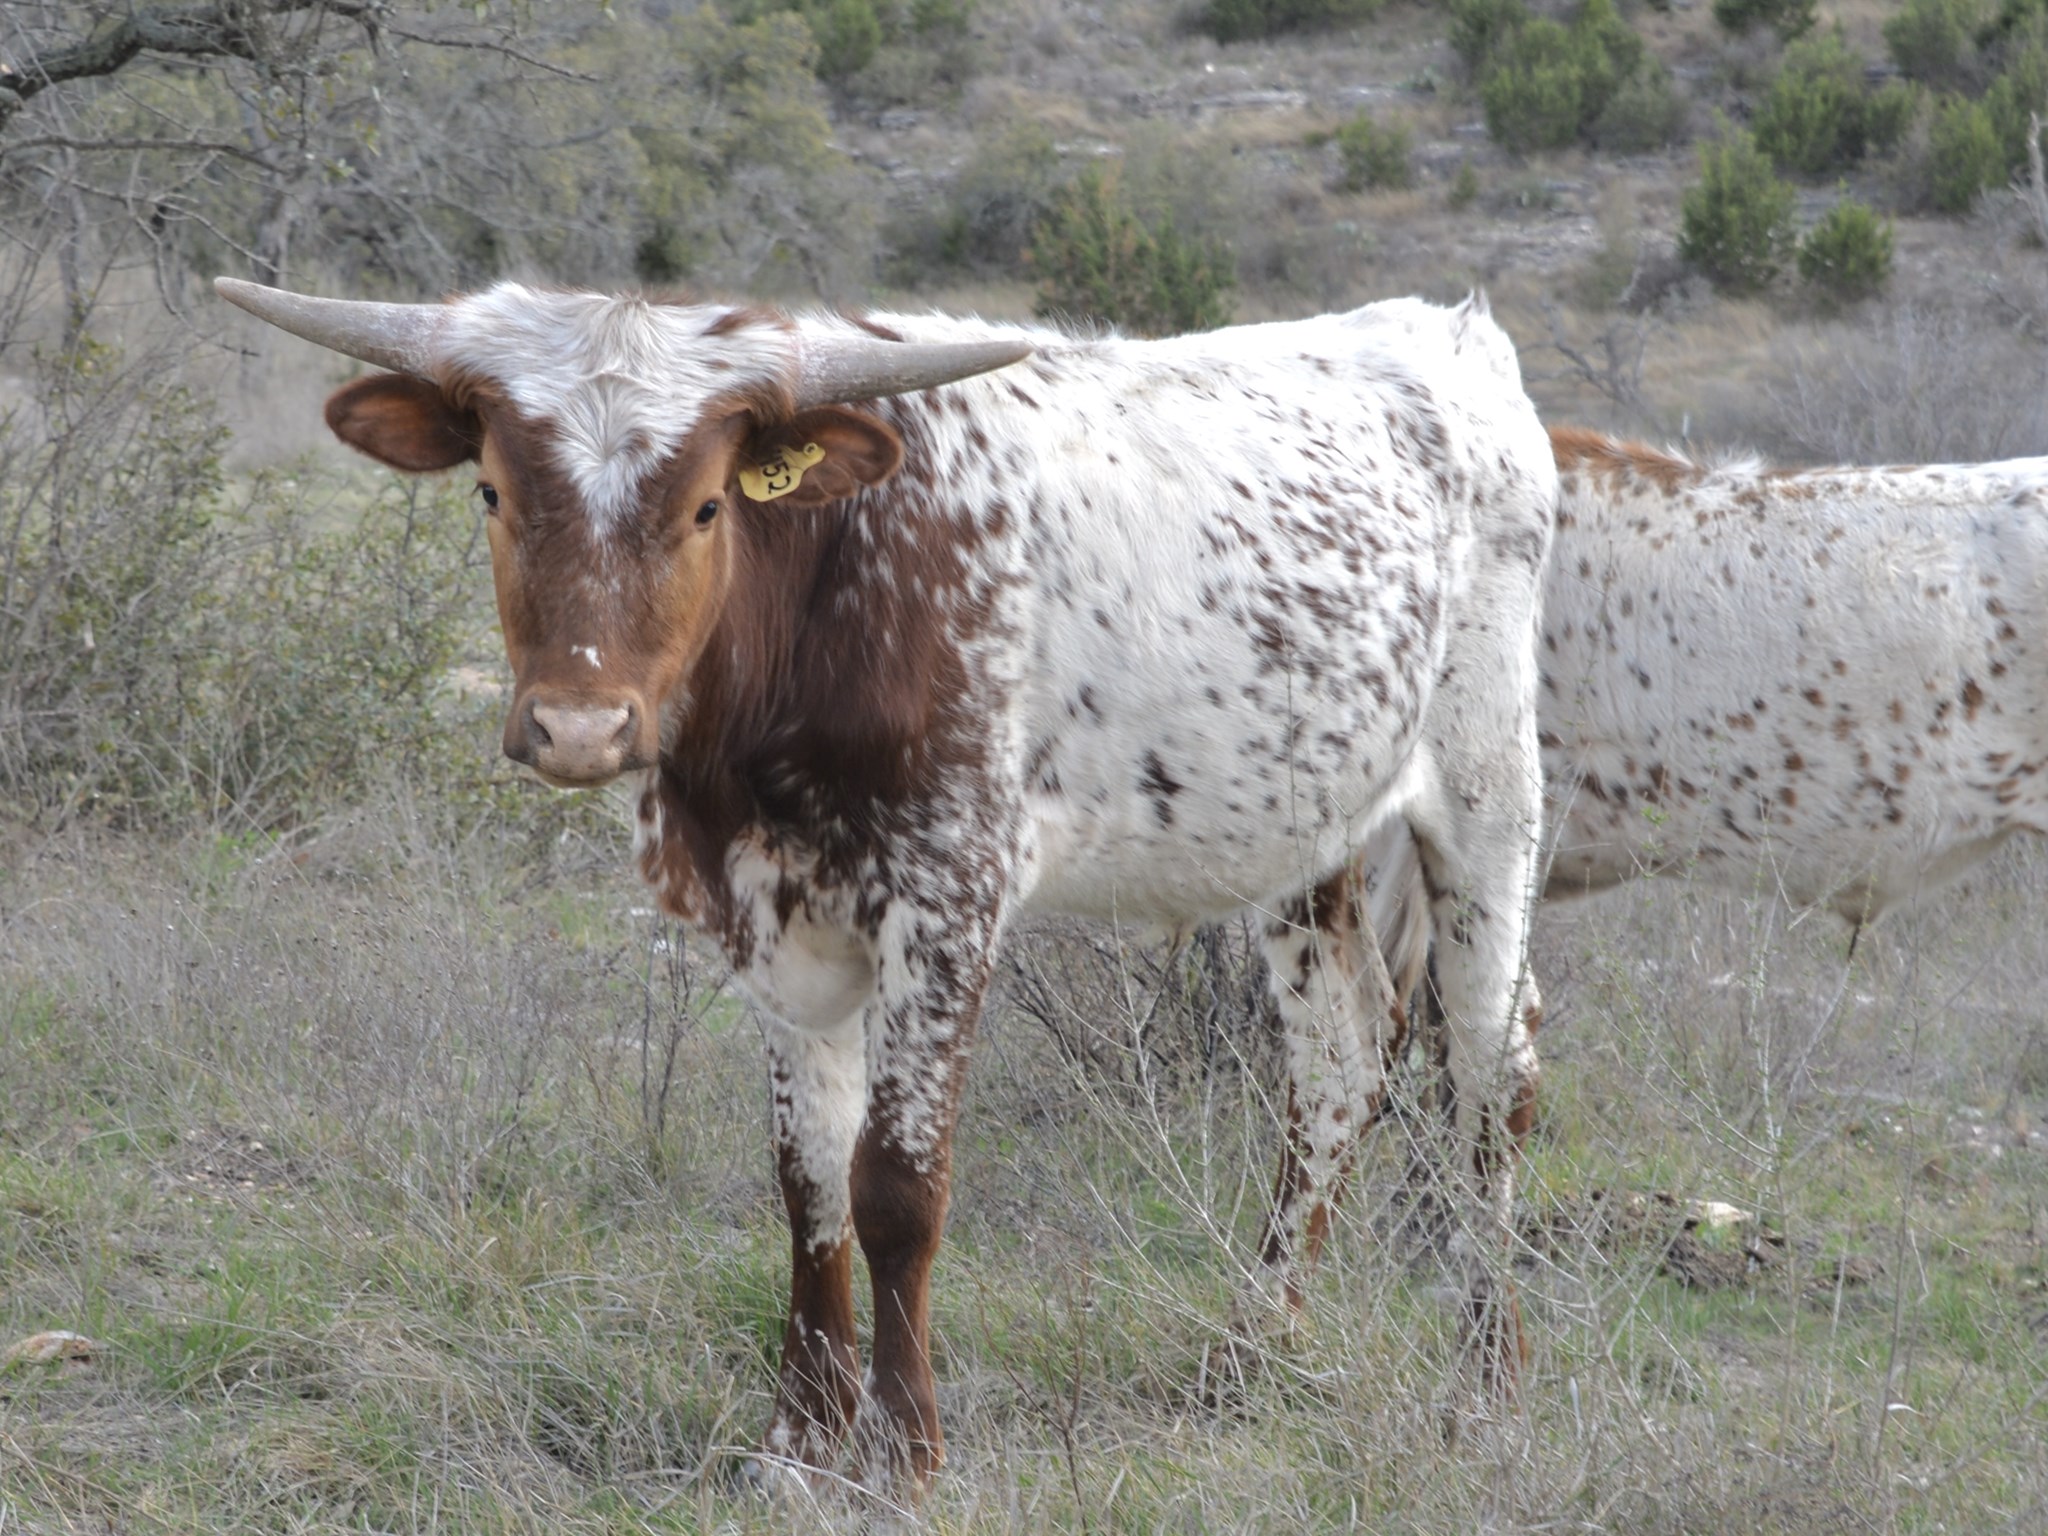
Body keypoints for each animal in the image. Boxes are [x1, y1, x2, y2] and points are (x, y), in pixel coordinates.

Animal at [215, 276, 1558, 1492]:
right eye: (494, 491)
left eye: (705, 507)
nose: (579, 728)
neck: (822, 594)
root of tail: (1448, 332)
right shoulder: (760, 913)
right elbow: (807, 1173)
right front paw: (800, 1441)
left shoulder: (946, 897)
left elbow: (897, 1185)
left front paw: (905, 1449)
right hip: (1303, 833)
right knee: (1338, 1061)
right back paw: (1245, 1358)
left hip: (1484, 792)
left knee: (1491, 1074)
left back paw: (1484, 1393)